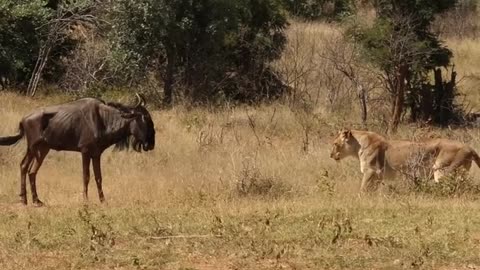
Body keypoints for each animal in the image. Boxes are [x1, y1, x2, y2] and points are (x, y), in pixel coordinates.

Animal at [330, 129, 480, 191]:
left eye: (335, 144)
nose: (331, 155)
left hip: (442, 170)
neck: (358, 145)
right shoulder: (378, 176)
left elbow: (363, 189)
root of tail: (468, 147)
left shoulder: (371, 171)